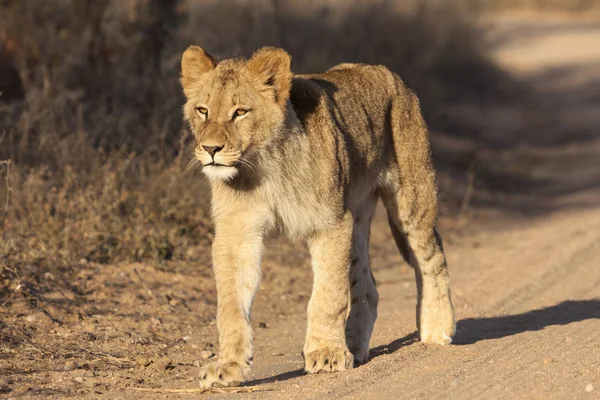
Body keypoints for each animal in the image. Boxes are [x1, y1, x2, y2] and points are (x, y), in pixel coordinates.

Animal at [178, 46, 454, 388]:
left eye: (240, 112)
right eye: (202, 110)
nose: (210, 149)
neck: (264, 166)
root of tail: (388, 73)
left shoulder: (330, 223)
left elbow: (327, 295)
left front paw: (326, 353)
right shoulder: (237, 232)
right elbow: (230, 305)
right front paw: (228, 365)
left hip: (411, 200)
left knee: (432, 257)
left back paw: (438, 329)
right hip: (357, 217)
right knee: (367, 286)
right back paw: (355, 346)